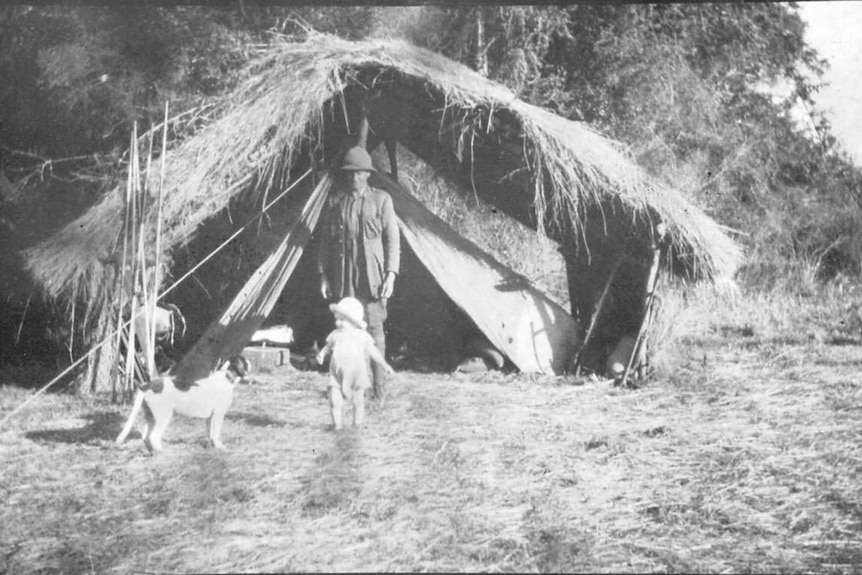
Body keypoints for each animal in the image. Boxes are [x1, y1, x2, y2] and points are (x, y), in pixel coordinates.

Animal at [115, 356, 250, 454]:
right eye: (244, 361)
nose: (250, 362)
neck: (226, 378)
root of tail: (148, 385)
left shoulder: (210, 417)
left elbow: (210, 433)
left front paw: (211, 446)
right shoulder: (218, 414)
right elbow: (216, 433)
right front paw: (220, 447)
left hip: (151, 416)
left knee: (145, 436)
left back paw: (152, 452)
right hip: (164, 416)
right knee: (153, 436)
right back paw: (162, 452)